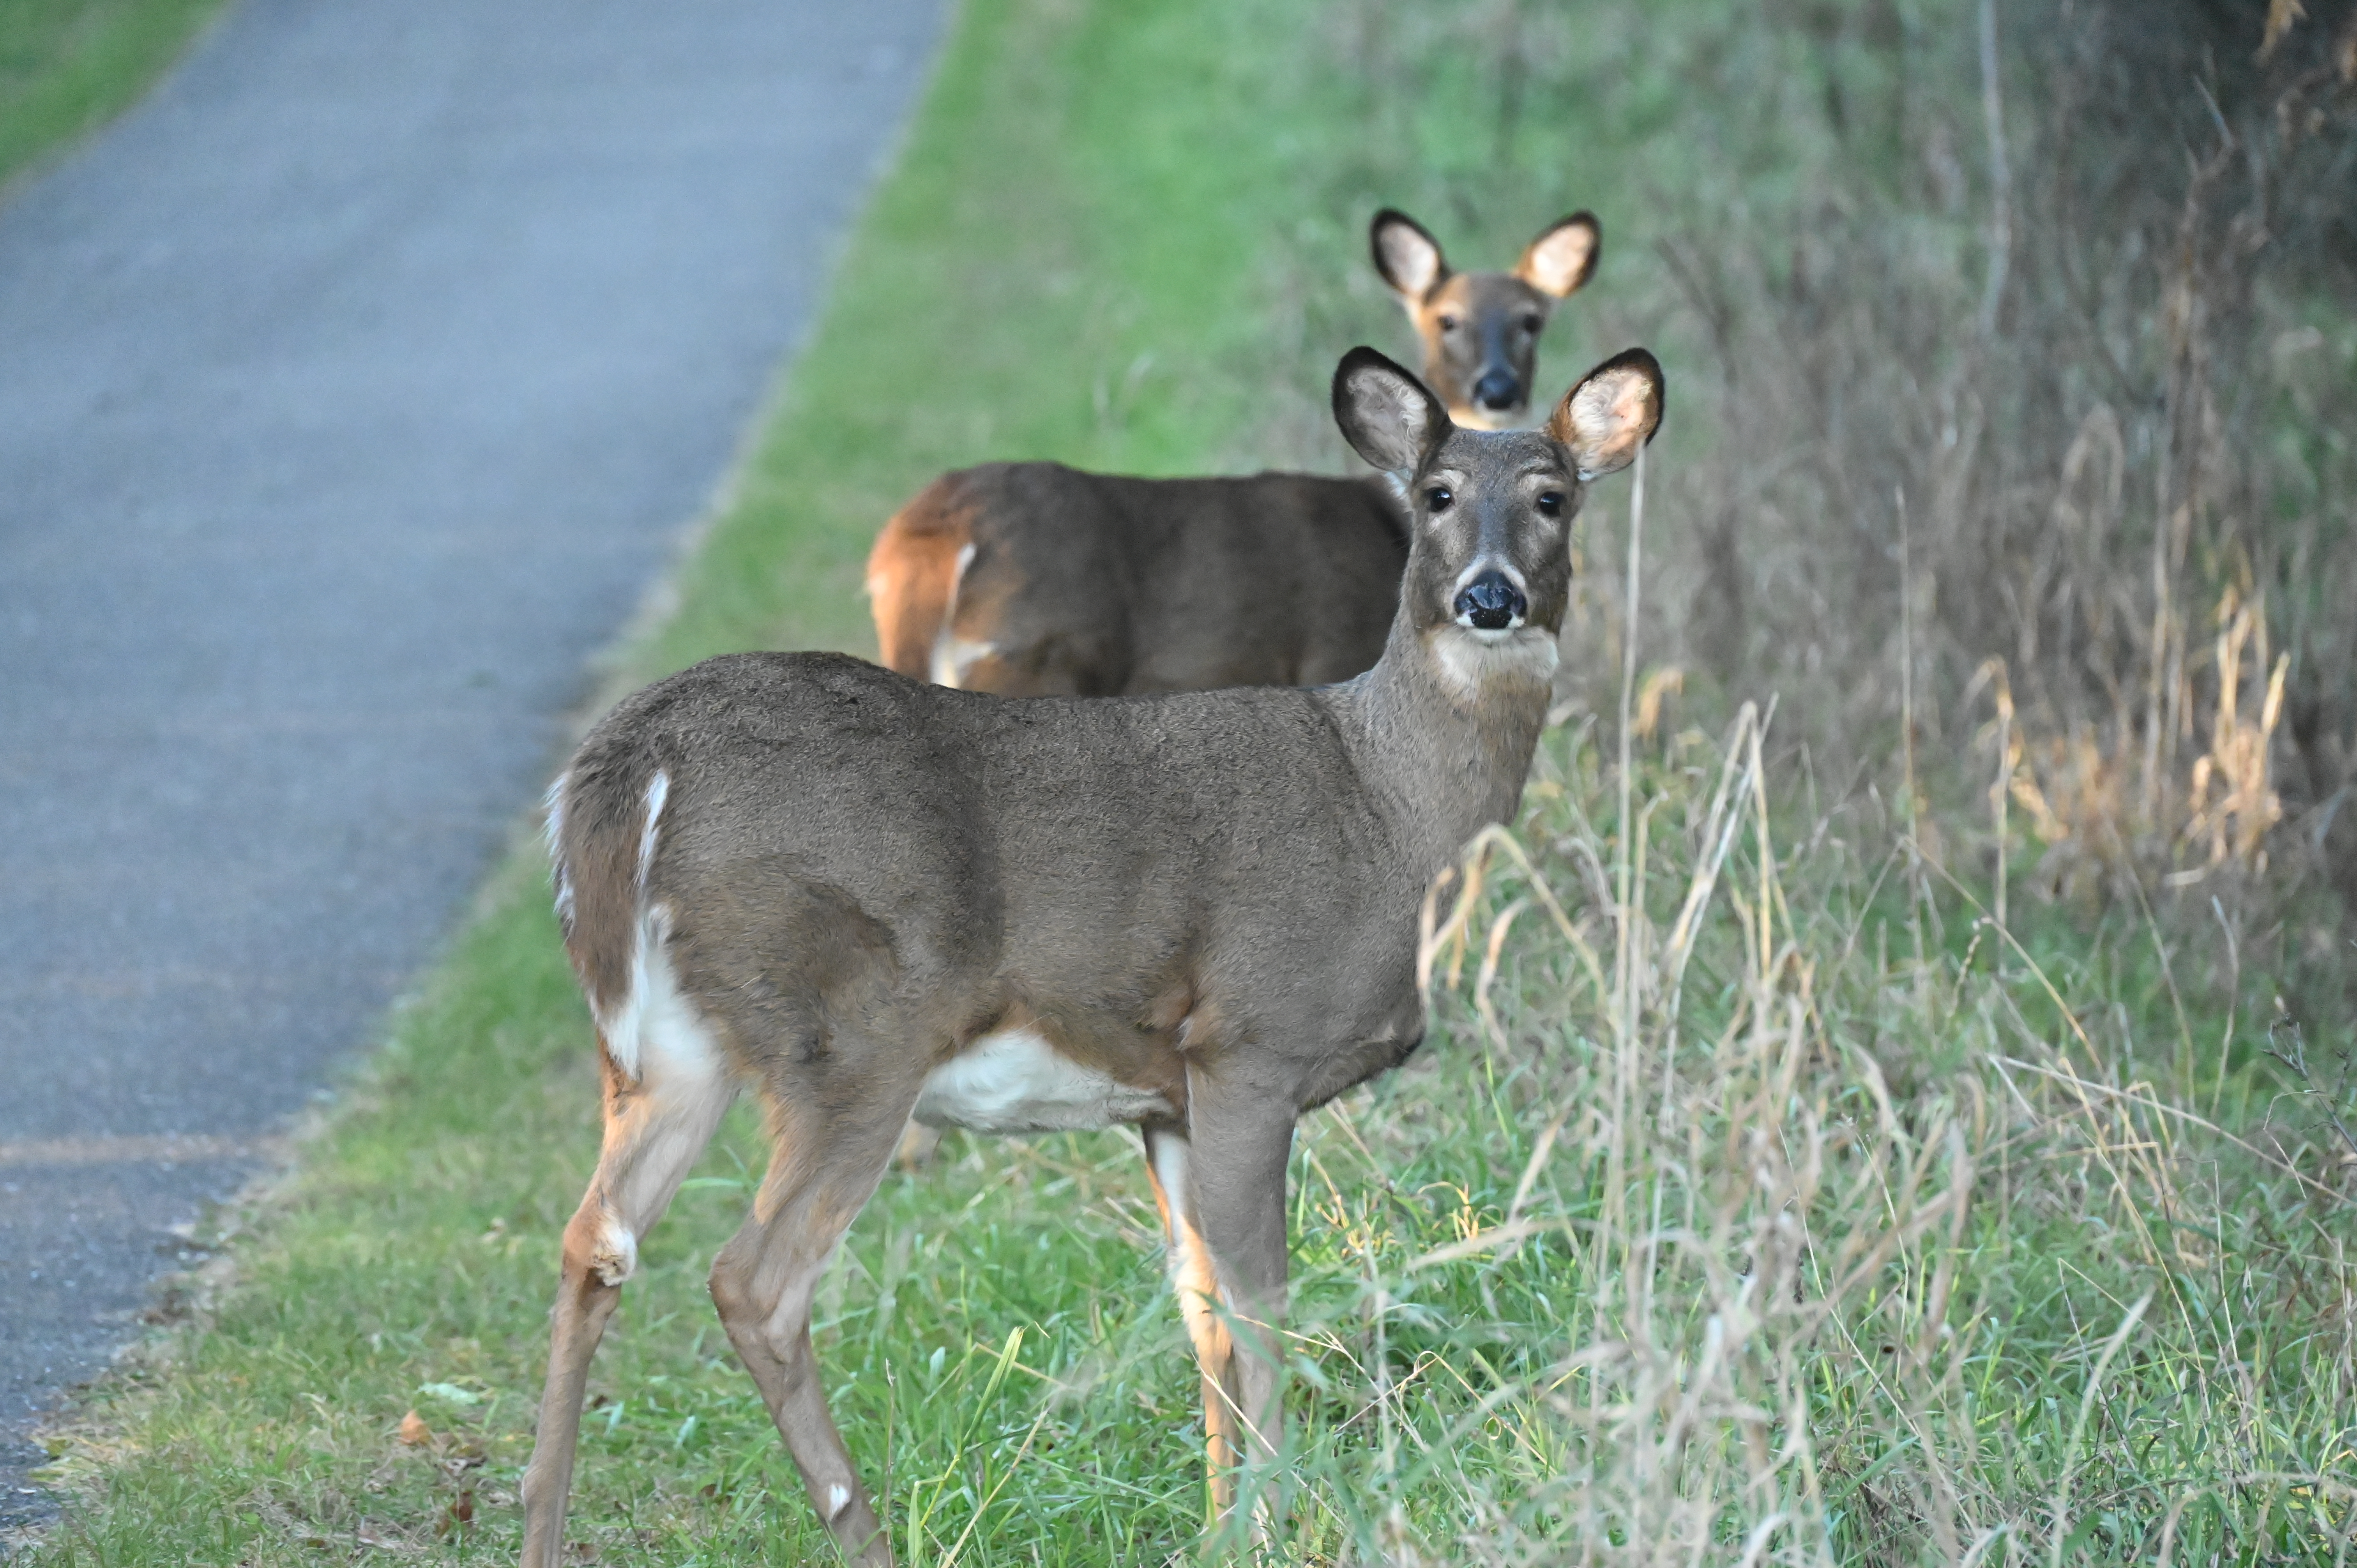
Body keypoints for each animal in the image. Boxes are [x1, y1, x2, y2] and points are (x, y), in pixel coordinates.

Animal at [519, 342, 1664, 1567]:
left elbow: (1201, 1312)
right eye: (1437, 495)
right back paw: (862, 1529)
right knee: (755, 1281)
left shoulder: (1166, 1094)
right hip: (856, 1034)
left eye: (1553, 498)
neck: (1390, 813)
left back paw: (540, 1521)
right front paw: (1276, 1520)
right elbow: (1265, 1305)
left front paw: (1219, 1521)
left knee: (593, 1239)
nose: (1489, 597)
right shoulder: (1251, 1043)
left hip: (671, 1051)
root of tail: (625, 774)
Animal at [864, 208, 1601, 700]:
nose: (1497, 388)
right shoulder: (1331, 653)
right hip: (1032, 659)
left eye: (1531, 320)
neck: (1388, 521)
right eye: (1447, 320)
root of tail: (929, 533)